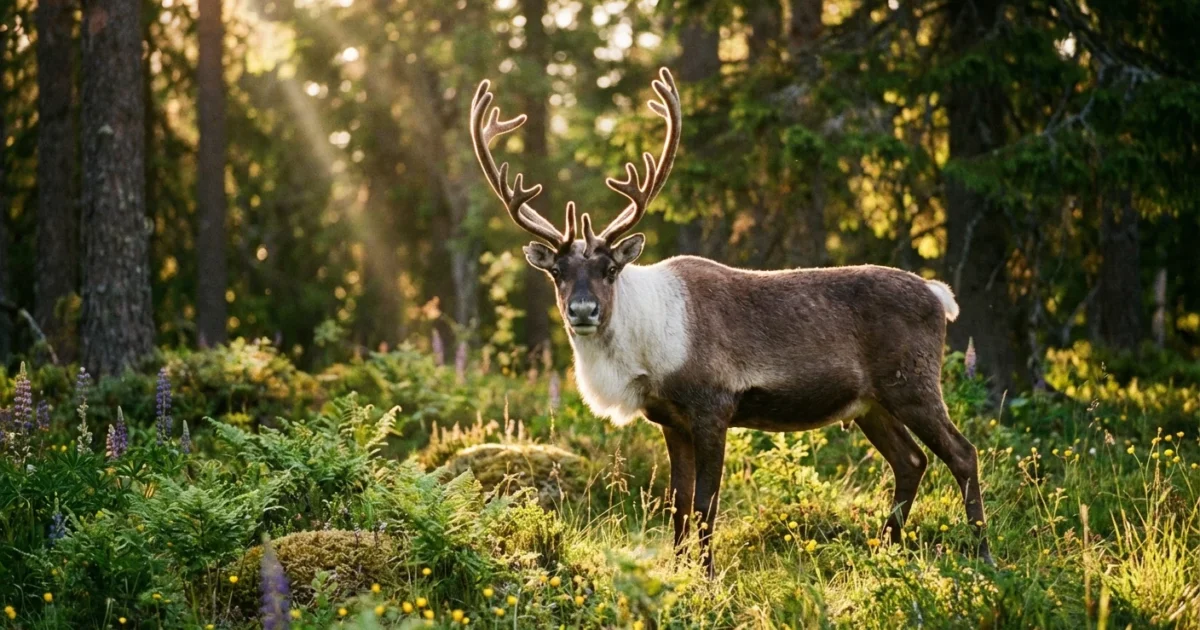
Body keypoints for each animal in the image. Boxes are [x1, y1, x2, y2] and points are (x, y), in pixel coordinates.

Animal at [469, 67, 992, 575]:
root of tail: (938, 295)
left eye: (609, 269)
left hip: (912, 384)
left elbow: (705, 505)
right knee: (911, 461)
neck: (645, 356)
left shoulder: (713, 408)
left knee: (962, 453)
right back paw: (884, 551)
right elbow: (678, 504)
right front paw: (679, 573)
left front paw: (707, 578)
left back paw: (982, 556)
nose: (582, 310)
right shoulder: (671, 420)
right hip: (870, 404)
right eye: (557, 272)